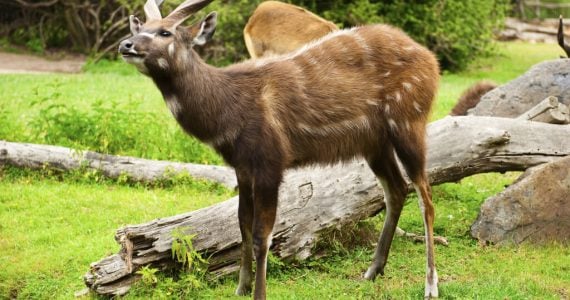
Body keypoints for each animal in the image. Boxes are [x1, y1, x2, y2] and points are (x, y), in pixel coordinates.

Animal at [118, 0, 440, 298]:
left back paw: (430, 285)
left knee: (425, 195)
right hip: (374, 142)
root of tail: (432, 61)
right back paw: (372, 270)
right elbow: (242, 224)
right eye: (139, 28)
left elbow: (263, 235)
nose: (125, 44)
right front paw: (241, 288)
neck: (227, 110)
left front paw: (258, 293)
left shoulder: (270, 161)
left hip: (409, 120)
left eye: (165, 32)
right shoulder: (241, 166)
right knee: (397, 189)